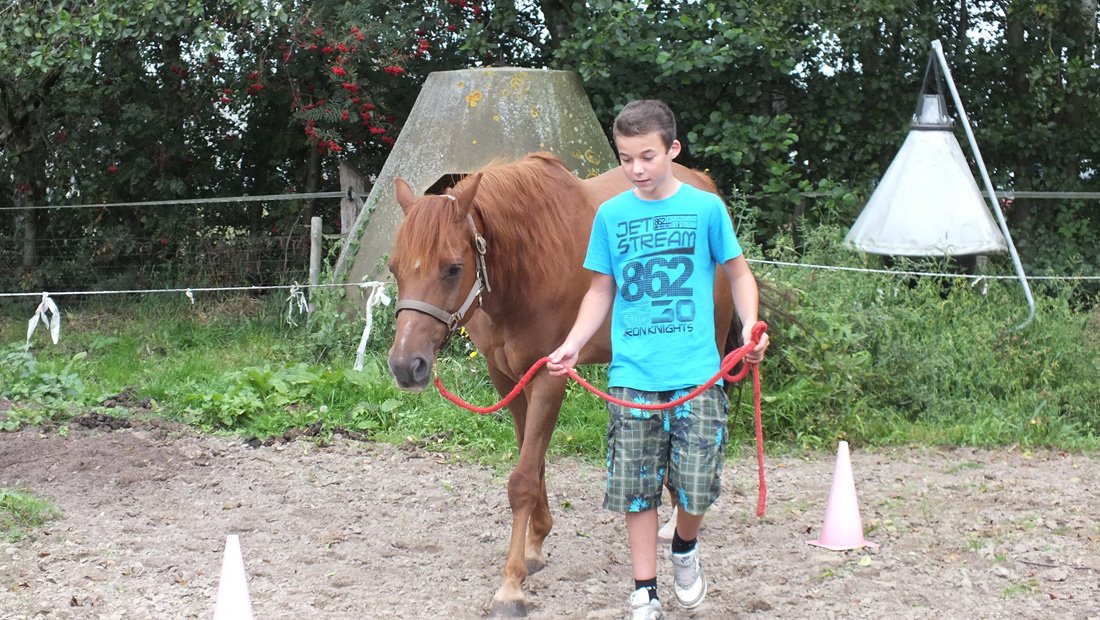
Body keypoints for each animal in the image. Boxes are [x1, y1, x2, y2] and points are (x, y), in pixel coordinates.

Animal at [386, 152, 740, 618]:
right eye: (394, 268)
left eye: (452, 268)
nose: (405, 365)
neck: (525, 264)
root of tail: (703, 184)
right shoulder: (506, 378)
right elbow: (532, 463)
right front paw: (535, 546)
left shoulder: (549, 377)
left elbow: (522, 479)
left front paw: (511, 586)